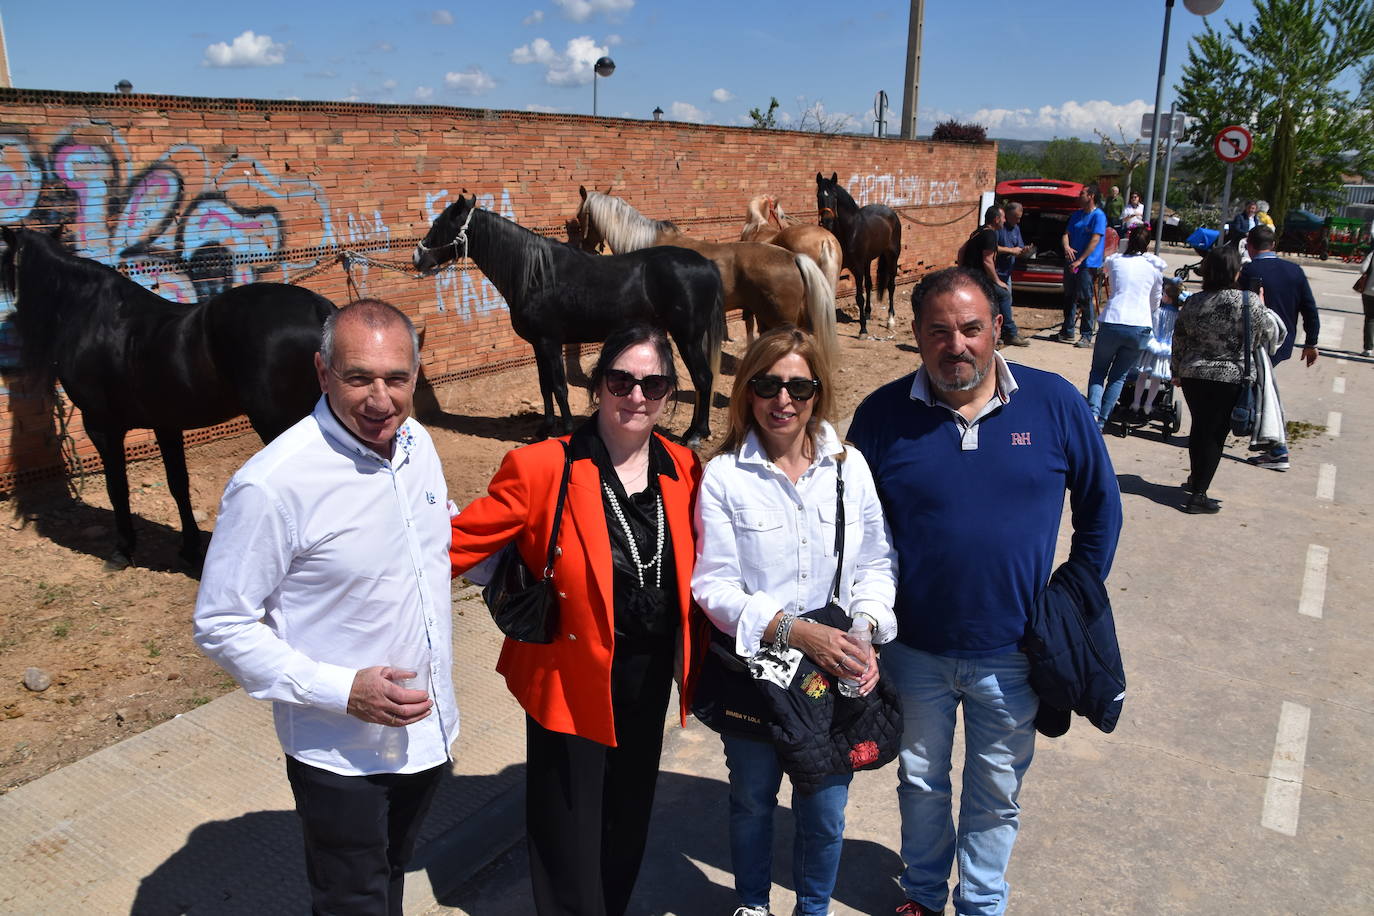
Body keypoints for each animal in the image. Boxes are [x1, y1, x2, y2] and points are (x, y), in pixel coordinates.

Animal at [2, 226, 335, 568]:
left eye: (5, 262)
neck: (96, 319)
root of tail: (318, 310)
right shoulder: (166, 424)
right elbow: (178, 484)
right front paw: (189, 548)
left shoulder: (102, 426)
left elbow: (117, 487)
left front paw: (123, 550)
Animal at [409, 192, 725, 444]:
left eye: (438, 224)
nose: (416, 258)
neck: (535, 273)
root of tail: (707, 264)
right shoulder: (538, 344)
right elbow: (544, 385)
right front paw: (545, 428)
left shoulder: (550, 342)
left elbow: (560, 387)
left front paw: (567, 429)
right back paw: (696, 431)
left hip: (687, 338)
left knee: (703, 379)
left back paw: (695, 434)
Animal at [813, 171, 901, 336]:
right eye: (818, 195)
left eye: (835, 196)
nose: (827, 221)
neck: (849, 231)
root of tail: (891, 213)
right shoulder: (840, 266)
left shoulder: (858, 268)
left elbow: (859, 297)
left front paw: (863, 330)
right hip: (868, 261)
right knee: (869, 284)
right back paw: (867, 313)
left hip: (892, 256)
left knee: (891, 285)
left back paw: (890, 320)